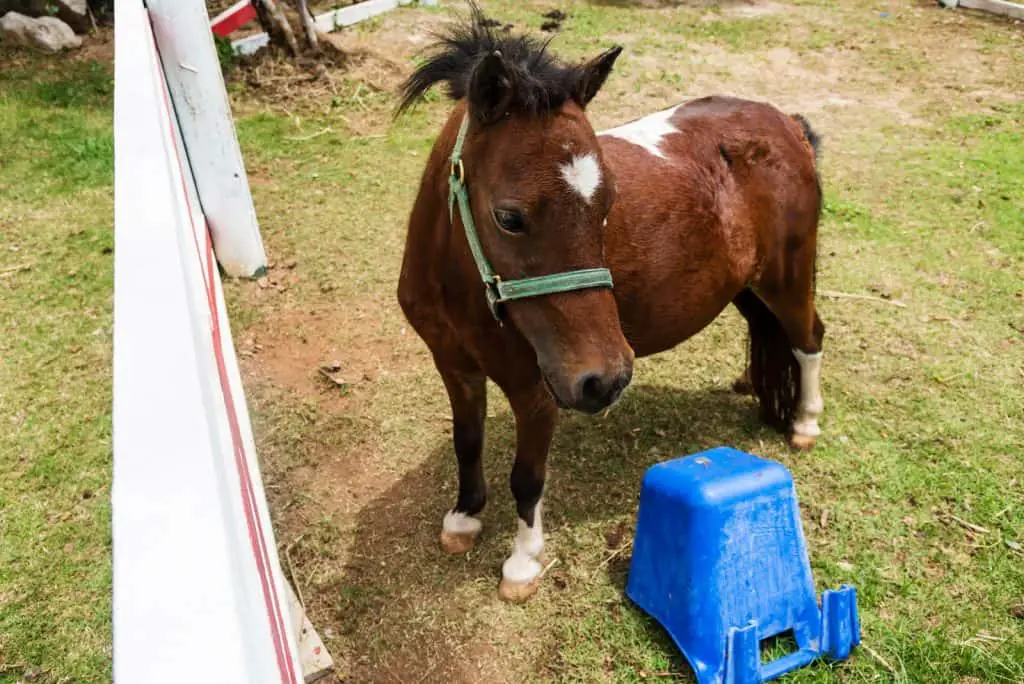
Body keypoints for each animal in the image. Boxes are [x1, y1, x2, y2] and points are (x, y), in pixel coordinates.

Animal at [395, 7, 827, 602]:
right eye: (509, 217)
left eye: (608, 205)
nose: (606, 379)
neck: (467, 289)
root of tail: (787, 124)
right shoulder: (453, 365)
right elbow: (467, 441)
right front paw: (464, 518)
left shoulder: (537, 390)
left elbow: (527, 477)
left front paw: (523, 563)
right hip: (747, 286)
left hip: (787, 278)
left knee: (808, 340)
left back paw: (805, 422)